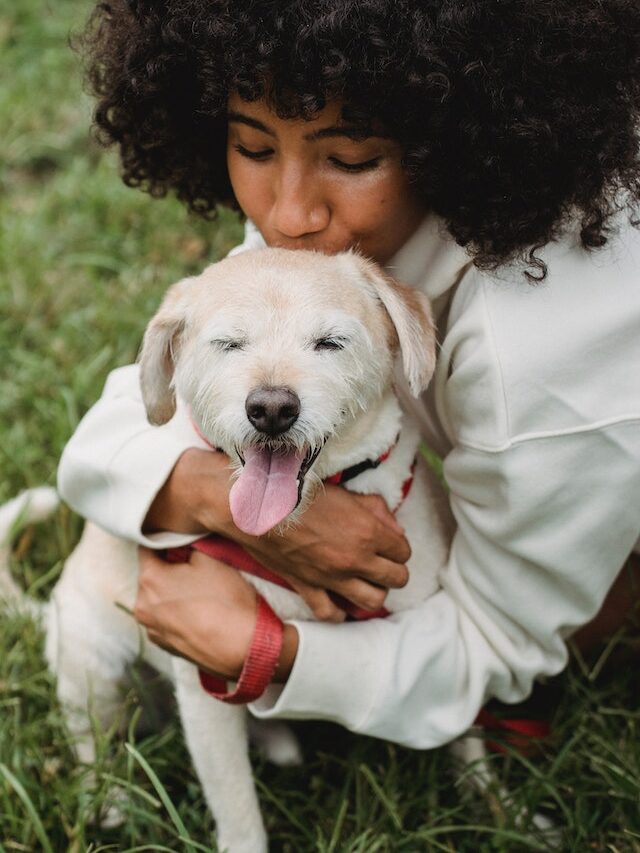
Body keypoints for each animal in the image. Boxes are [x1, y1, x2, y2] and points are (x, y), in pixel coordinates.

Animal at [2, 248, 490, 852]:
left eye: (330, 342)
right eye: (229, 343)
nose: (272, 408)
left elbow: (467, 727)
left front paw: (500, 808)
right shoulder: (203, 690)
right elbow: (236, 811)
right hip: (92, 670)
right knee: (90, 743)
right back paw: (108, 801)